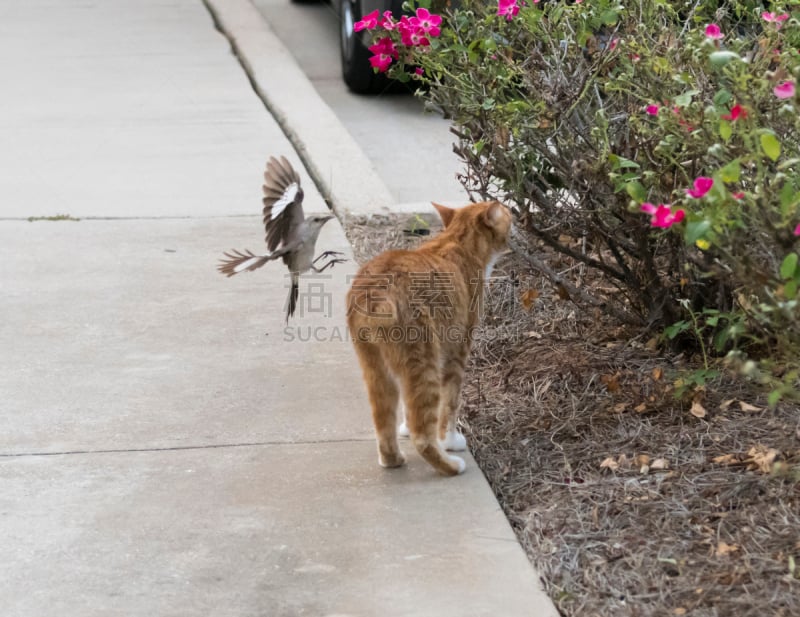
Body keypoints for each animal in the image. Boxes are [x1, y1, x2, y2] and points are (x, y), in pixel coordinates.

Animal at [346, 202, 510, 476]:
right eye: (508, 213)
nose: (514, 216)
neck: (457, 241)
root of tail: (375, 290)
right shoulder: (457, 351)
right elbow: (450, 403)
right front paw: (450, 441)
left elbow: (405, 407)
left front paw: (403, 429)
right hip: (424, 360)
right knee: (421, 433)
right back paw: (450, 465)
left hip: (376, 367)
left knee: (385, 422)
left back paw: (393, 459)